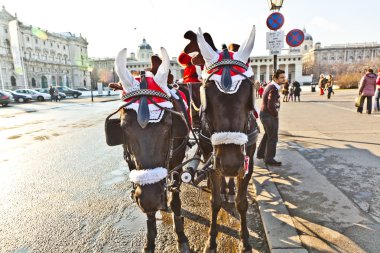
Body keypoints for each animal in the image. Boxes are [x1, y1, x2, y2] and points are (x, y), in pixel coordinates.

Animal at [105, 48, 190, 253]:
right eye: (123, 125)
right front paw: (150, 241)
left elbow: (176, 200)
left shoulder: (178, 163)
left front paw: (180, 234)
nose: (151, 199)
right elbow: (150, 216)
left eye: (168, 123)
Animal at [182, 26, 258, 252]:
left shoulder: (247, 162)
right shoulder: (212, 160)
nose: (231, 164)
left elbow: (242, 203)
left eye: (250, 91)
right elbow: (214, 201)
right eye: (206, 92)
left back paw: (230, 189)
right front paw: (211, 240)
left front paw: (245, 240)